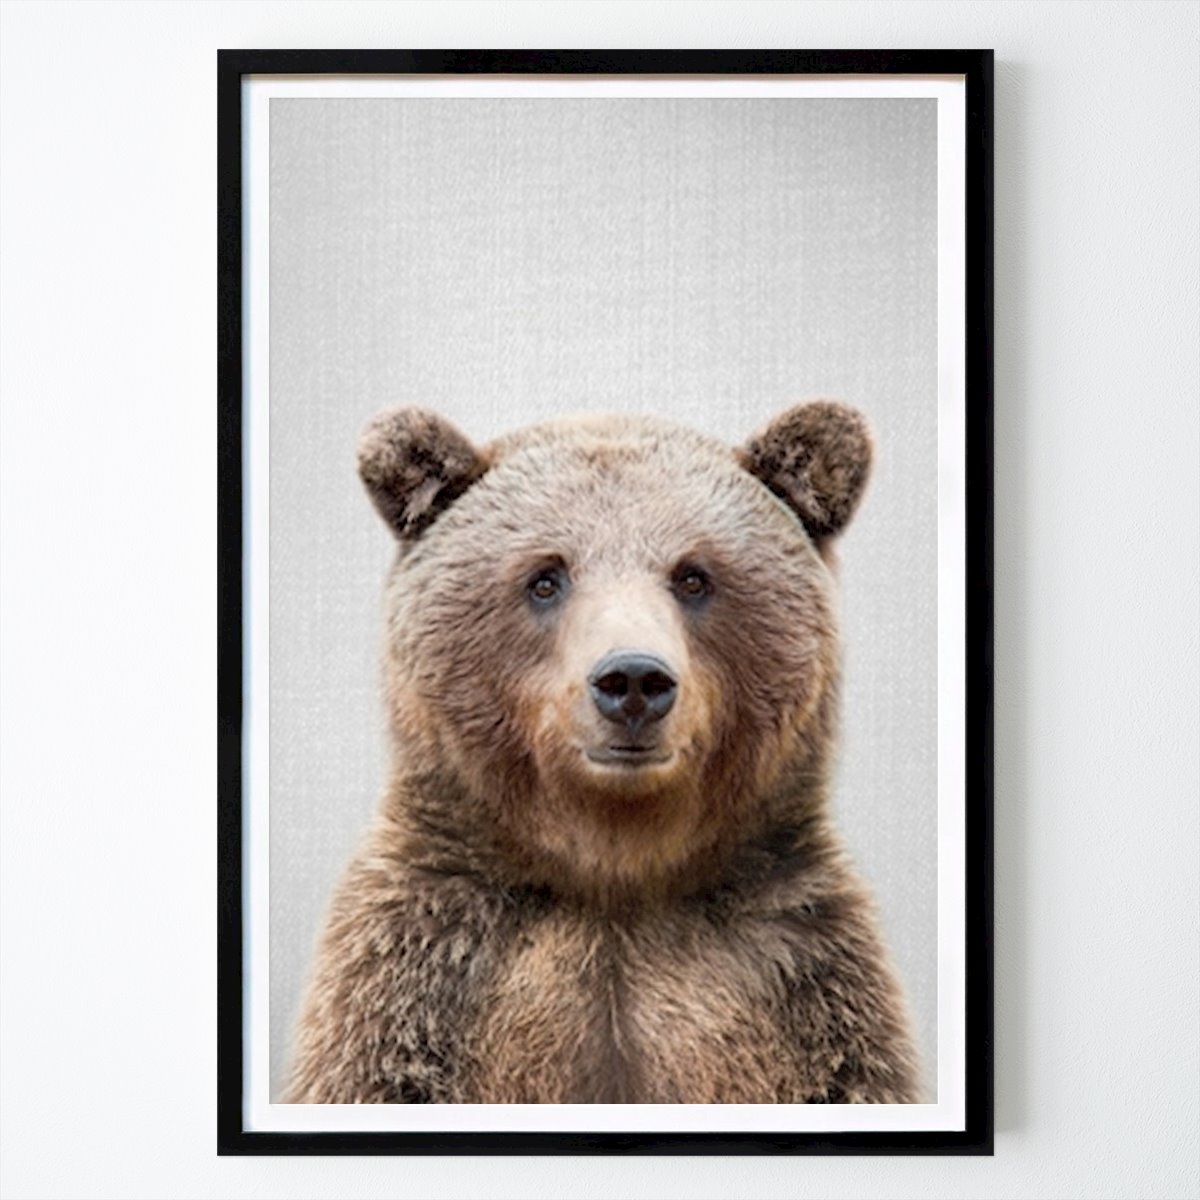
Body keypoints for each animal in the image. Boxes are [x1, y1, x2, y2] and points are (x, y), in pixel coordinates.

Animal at [285, 402, 921, 1105]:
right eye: (545, 578)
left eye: (693, 576)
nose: (633, 680)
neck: (614, 869)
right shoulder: (422, 976)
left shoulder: (801, 981)